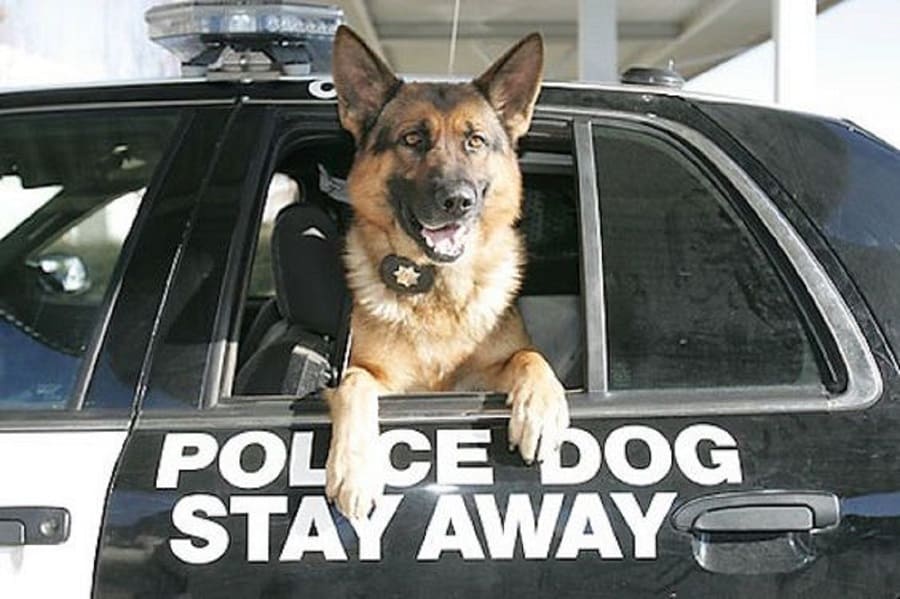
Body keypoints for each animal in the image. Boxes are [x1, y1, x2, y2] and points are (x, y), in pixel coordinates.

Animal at [328, 24, 568, 520]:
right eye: (412, 139)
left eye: (474, 141)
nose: (457, 201)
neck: (439, 290)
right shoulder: (369, 376)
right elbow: (353, 386)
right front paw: (354, 470)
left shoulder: (484, 375)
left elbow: (529, 356)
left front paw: (543, 410)